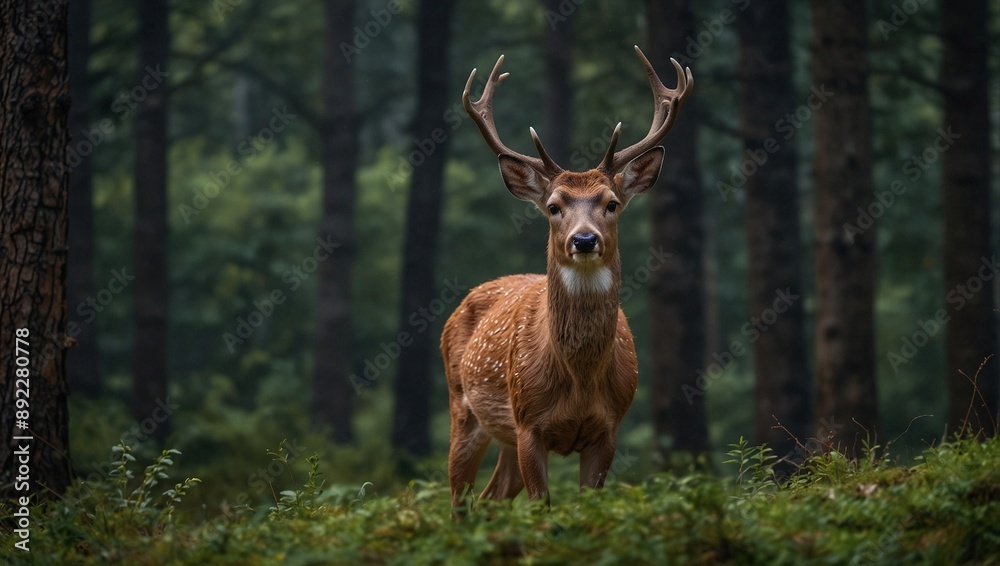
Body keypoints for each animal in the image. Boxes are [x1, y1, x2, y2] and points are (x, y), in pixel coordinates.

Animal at [441, 46, 692, 513]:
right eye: (555, 206)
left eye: (611, 203)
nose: (584, 239)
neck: (578, 380)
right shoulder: (528, 425)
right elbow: (543, 508)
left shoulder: (608, 428)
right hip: (463, 407)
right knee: (459, 501)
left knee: (490, 497)